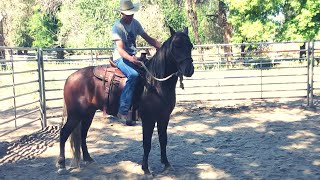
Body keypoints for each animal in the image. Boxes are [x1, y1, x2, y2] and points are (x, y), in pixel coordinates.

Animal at [57, 26, 195, 174]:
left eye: (190, 46)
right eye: (176, 45)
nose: (189, 70)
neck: (155, 84)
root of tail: (70, 77)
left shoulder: (164, 117)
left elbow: (163, 140)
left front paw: (166, 164)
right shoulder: (148, 119)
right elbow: (147, 143)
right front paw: (146, 169)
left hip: (88, 113)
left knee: (83, 134)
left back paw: (88, 159)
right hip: (75, 115)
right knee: (64, 133)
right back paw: (61, 164)